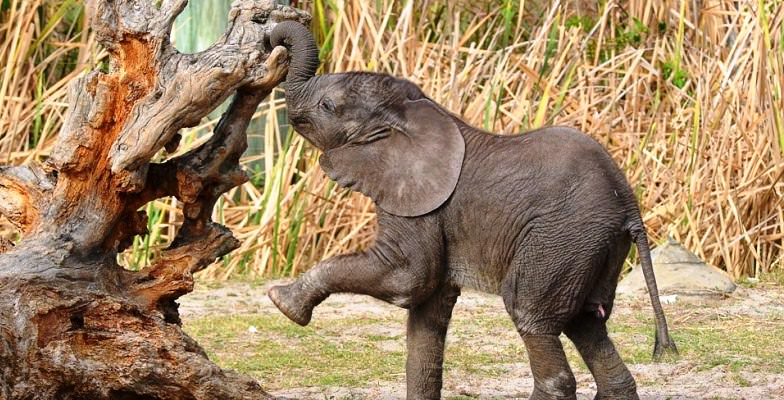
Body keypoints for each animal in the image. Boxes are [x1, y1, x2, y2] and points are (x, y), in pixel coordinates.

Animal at [266, 21, 676, 400]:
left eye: (327, 106)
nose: (273, 39)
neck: (417, 112)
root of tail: (629, 206)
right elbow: (428, 311)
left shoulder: (419, 202)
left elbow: (407, 278)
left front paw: (282, 302)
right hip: (593, 249)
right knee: (588, 325)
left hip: (562, 241)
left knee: (531, 314)